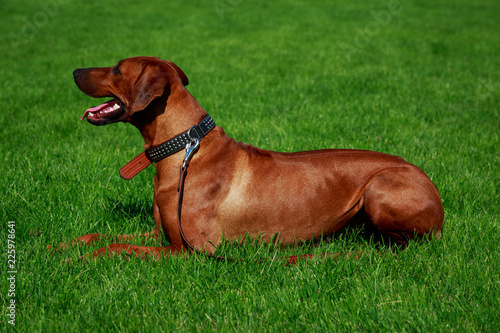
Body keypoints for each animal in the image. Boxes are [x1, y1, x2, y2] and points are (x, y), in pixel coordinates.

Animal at [61, 56, 442, 260]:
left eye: (116, 69)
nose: (75, 71)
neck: (185, 148)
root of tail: (428, 181)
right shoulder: (161, 234)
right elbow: (94, 236)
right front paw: (58, 246)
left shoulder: (187, 249)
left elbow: (114, 246)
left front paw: (79, 260)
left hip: (381, 186)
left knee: (406, 243)